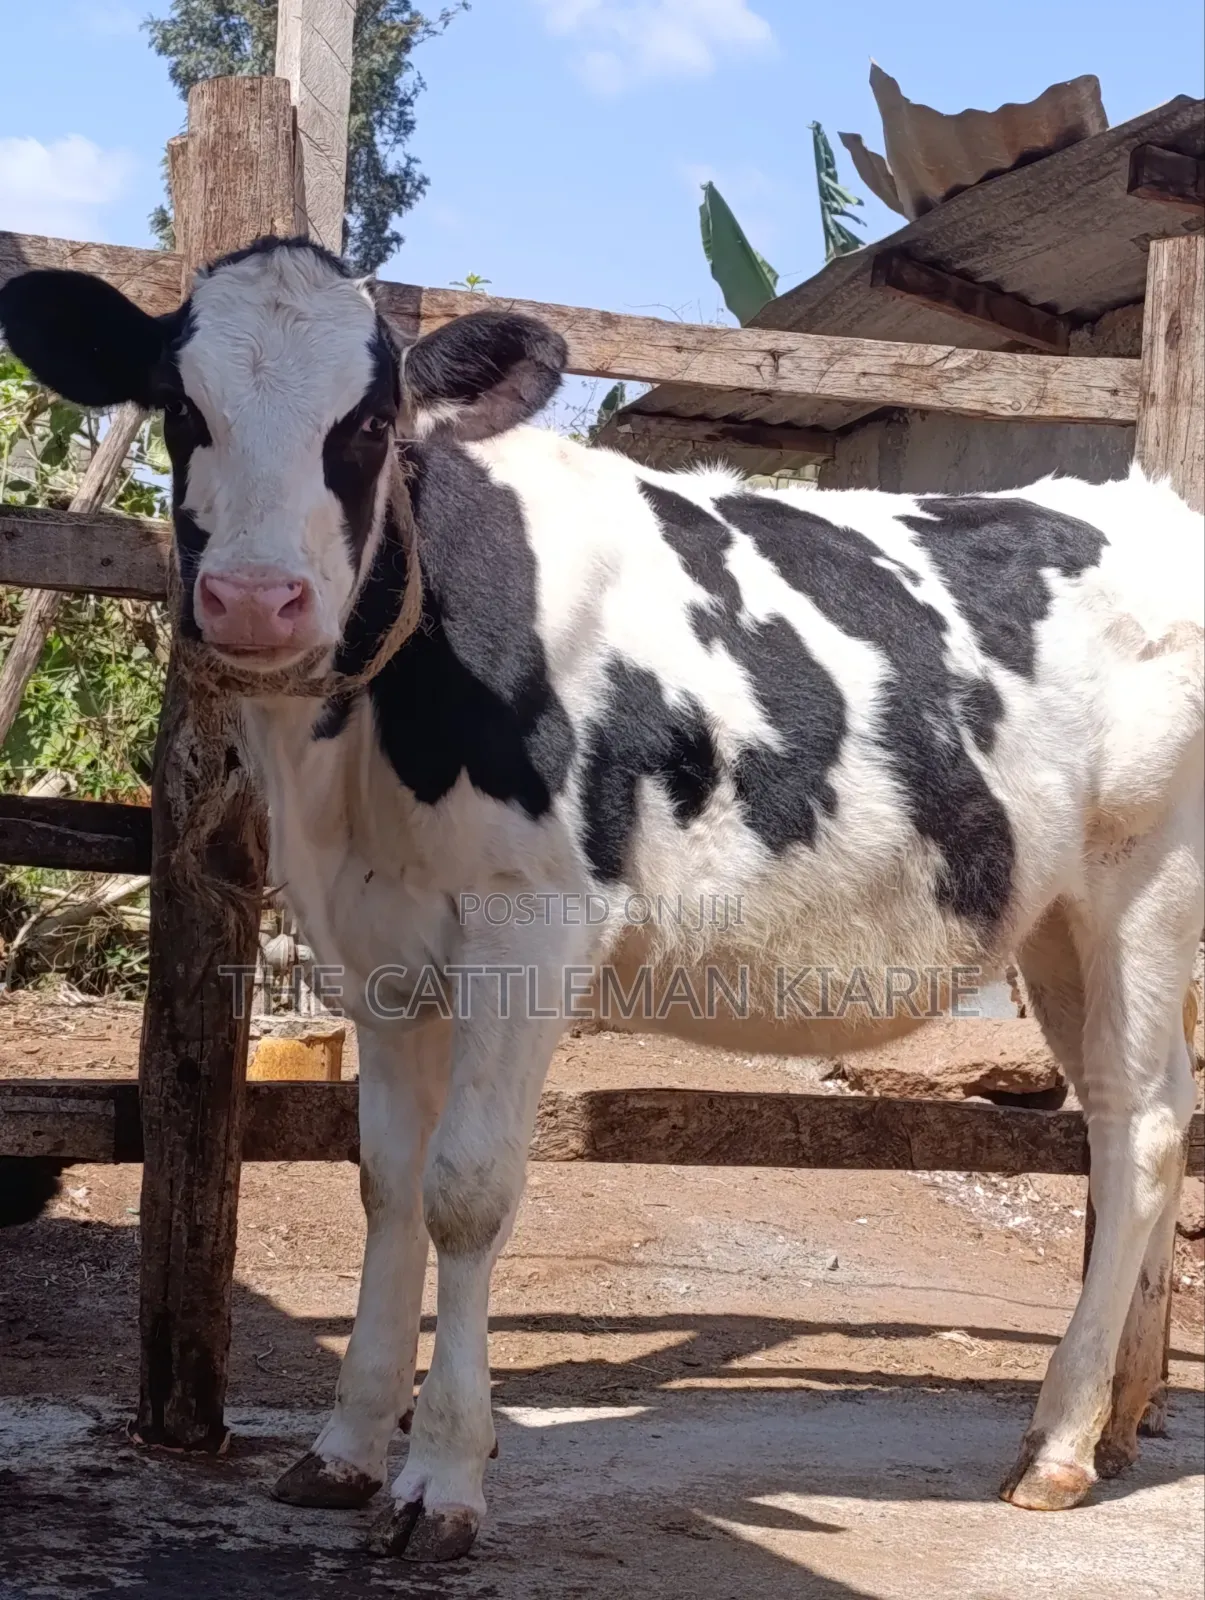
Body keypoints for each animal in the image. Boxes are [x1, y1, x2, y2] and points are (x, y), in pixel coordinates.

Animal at [2, 236, 1201, 1563]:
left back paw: (1058, 1446)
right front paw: (345, 1448)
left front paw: (440, 1478)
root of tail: (1145, 501)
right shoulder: (375, 949)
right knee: (1124, 1111)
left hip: (1142, 881)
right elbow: (386, 1185)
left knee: (1141, 1126)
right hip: (1053, 921)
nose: (256, 599)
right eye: (179, 404)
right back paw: (1093, 1422)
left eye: (368, 421)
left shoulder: (530, 925)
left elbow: (465, 1191)